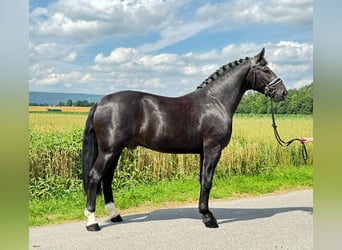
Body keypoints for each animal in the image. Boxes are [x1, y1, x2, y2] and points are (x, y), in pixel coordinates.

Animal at [81, 48, 288, 230]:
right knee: (95, 176)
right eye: (265, 69)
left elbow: (203, 180)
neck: (216, 101)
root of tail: (100, 102)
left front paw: (205, 213)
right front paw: (209, 219)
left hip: (116, 151)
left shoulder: (204, 151)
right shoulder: (213, 149)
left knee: (107, 179)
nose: (283, 92)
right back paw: (92, 222)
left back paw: (115, 215)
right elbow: (208, 181)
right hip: (109, 151)